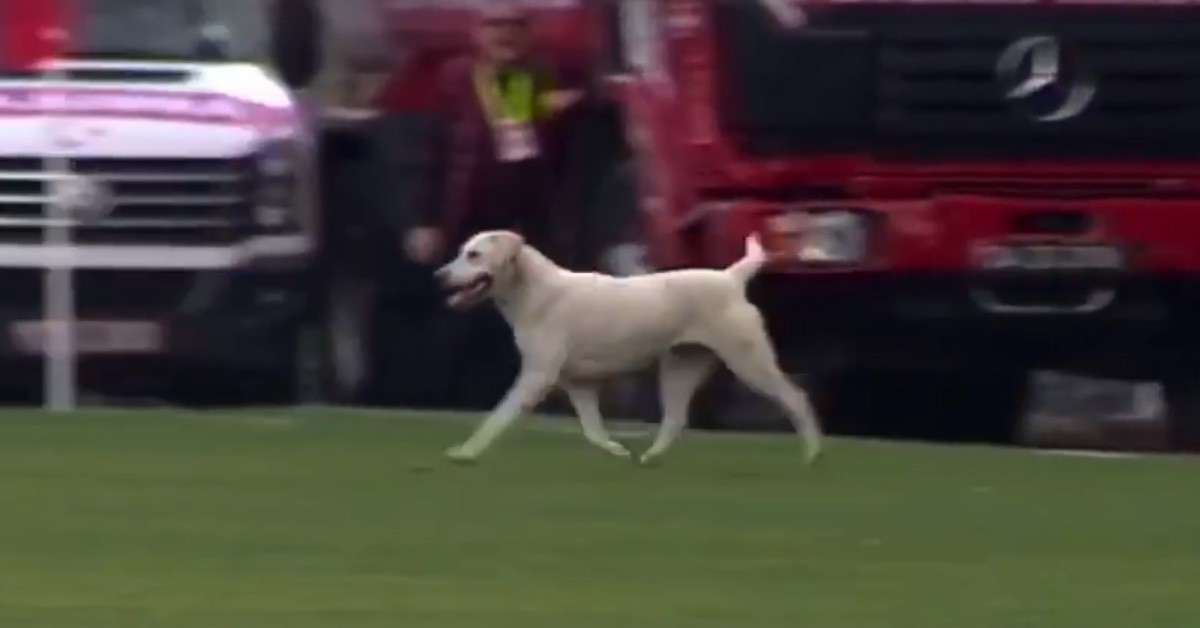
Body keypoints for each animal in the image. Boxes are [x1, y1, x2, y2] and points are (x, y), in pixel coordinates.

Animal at [434, 230, 825, 465]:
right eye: (460, 253)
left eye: (474, 255)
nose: (439, 275)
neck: (535, 291)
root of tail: (730, 278)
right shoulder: (578, 384)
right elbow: (593, 431)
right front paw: (617, 450)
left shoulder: (536, 378)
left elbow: (497, 417)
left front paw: (465, 452)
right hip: (679, 369)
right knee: (674, 419)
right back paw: (649, 458)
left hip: (750, 363)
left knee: (797, 398)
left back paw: (812, 456)